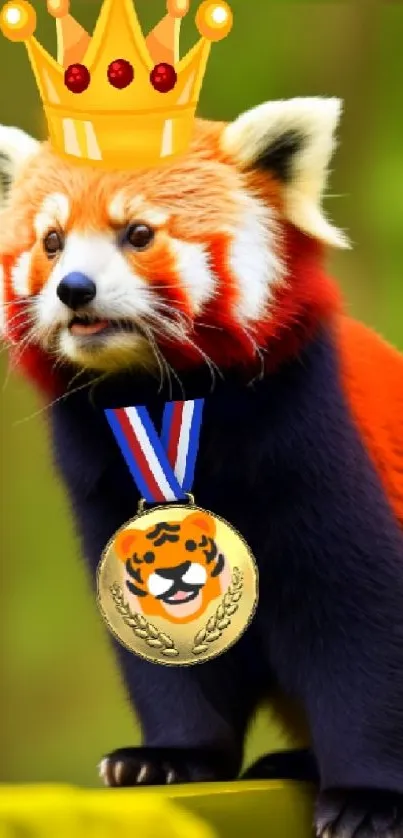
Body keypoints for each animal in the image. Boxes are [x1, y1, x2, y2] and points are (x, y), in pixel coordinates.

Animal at [2, 101, 403, 838]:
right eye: (51, 241)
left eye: (137, 233)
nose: (74, 289)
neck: (167, 397)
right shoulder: (101, 477)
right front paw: (168, 758)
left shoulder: (318, 443)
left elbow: (361, 626)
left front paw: (368, 796)